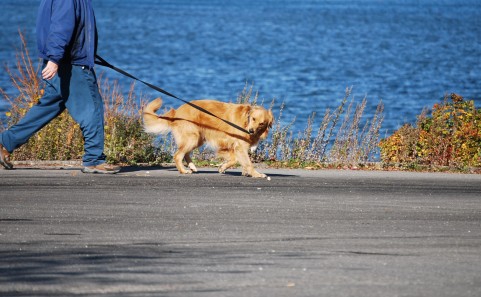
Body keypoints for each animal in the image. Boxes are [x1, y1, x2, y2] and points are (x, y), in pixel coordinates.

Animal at [141, 97, 272, 177]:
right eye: (253, 119)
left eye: (261, 123)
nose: (251, 131)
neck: (245, 121)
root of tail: (176, 112)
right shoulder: (238, 146)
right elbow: (245, 162)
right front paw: (256, 174)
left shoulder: (230, 146)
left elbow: (235, 160)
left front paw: (223, 167)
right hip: (193, 138)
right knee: (178, 155)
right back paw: (183, 170)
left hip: (198, 139)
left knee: (185, 153)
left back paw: (192, 166)